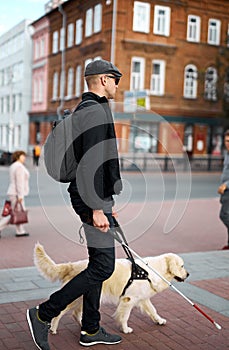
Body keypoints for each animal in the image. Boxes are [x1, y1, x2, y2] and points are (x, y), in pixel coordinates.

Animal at [33, 243, 188, 334]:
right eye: (182, 266)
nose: (188, 274)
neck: (151, 272)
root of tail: (72, 265)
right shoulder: (128, 299)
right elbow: (125, 316)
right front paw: (125, 329)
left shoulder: (142, 298)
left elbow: (153, 310)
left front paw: (159, 320)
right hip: (75, 298)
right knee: (59, 312)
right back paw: (53, 328)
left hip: (84, 298)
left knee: (76, 313)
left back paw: (84, 325)